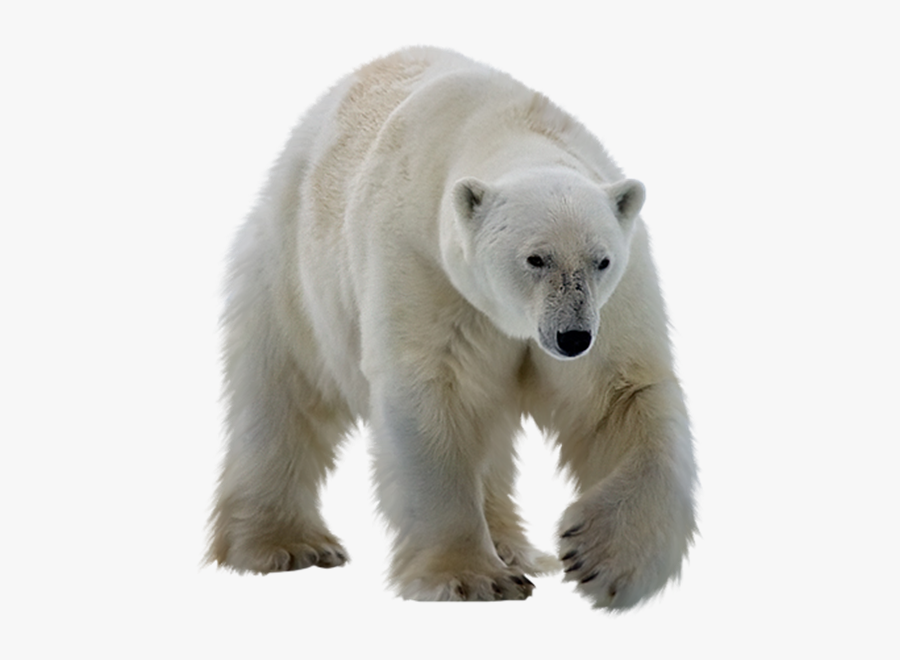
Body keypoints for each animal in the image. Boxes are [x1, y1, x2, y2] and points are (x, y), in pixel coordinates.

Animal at [208, 46, 697, 609]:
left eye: (601, 260)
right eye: (535, 258)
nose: (572, 338)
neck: (502, 125)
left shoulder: (614, 300)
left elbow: (621, 393)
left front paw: (602, 557)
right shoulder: (423, 265)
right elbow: (435, 395)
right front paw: (473, 578)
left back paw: (513, 546)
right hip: (293, 277)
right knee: (281, 399)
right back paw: (284, 544)